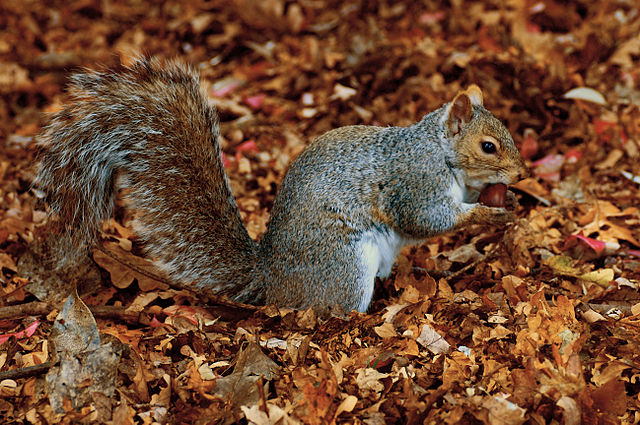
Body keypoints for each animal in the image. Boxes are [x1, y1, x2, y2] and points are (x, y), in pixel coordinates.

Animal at [35, 57, 528, 314]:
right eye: (488, 146)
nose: (521, 174)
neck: (441, 153)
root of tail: (272, 281)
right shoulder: (414, 183)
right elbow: (427, 219)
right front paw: (492, 214)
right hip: (343, 264)